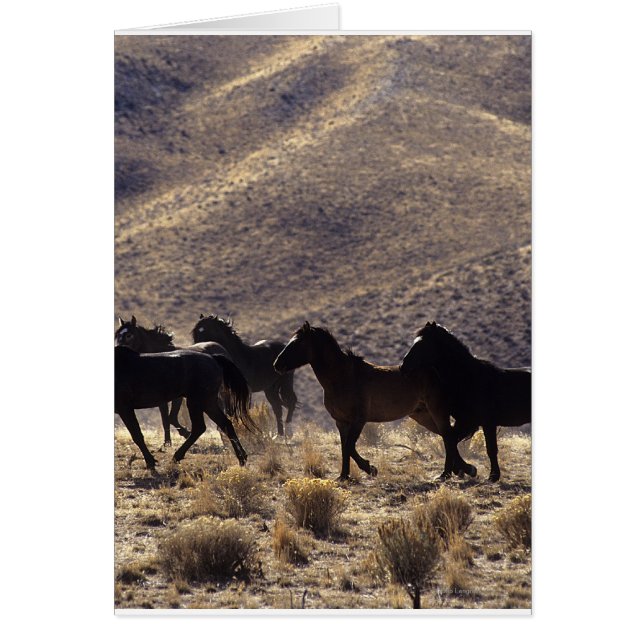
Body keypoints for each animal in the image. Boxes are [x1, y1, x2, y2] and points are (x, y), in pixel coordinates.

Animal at [115, 316, 231, 445]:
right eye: (117, 335)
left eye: (129, 335)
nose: (118, 349)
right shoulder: (161, 400)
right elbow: (165, 419)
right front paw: (167, 443)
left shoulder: (177, 398)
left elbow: (171, 418)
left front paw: (185, 434)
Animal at [115, 345, 255, 470]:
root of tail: (213, 358)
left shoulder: (125, 408)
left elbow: (137, 435)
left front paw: (150, 462)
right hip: (204, 403)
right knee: (222, 424)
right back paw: (242, 458)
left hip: (199, 401)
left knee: (202, 427)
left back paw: (176, 457)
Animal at [272, 322, 476, 481]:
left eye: (297, 343)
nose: (277, 364)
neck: (343, 378)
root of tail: (436, 369)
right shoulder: (341, 422)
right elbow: (344, 448)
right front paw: (343, 476)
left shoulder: (358, 420)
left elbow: (350, 446)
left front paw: (370, 468)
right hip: (423, 415)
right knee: (447, 436)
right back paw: (459, 470)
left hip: (436, 410)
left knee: (448, 436)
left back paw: (452, 472)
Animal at [400, 321, 531, 482]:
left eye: (423, 344)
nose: (403, 366)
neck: (469, 379)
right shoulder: (465, 422)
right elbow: (449, 441)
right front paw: (449, 473)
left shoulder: (486, 423)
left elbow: (490, 449)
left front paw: (492, 476)